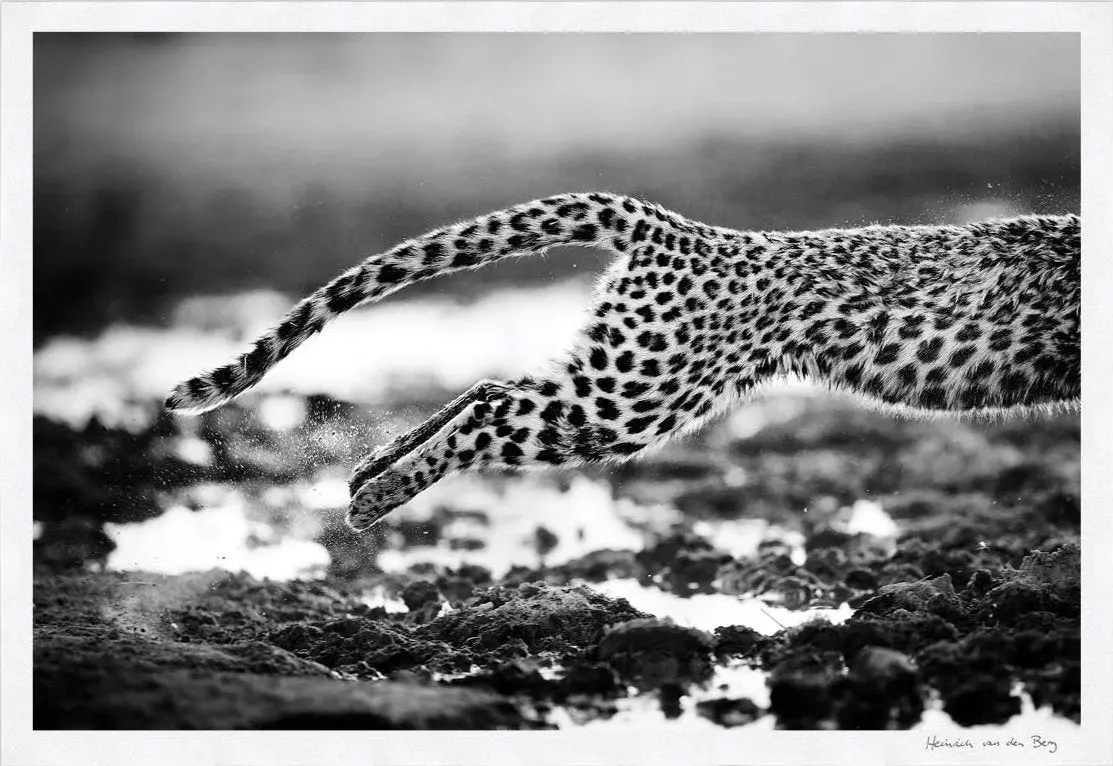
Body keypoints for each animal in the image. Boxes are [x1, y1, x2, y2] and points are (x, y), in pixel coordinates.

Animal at [165, 193, 1081, 532]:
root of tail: (678, 228)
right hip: (633, 395)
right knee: (495, 410)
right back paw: (372, 499)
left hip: (619, 369)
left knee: (490, 386)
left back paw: (368, 470)